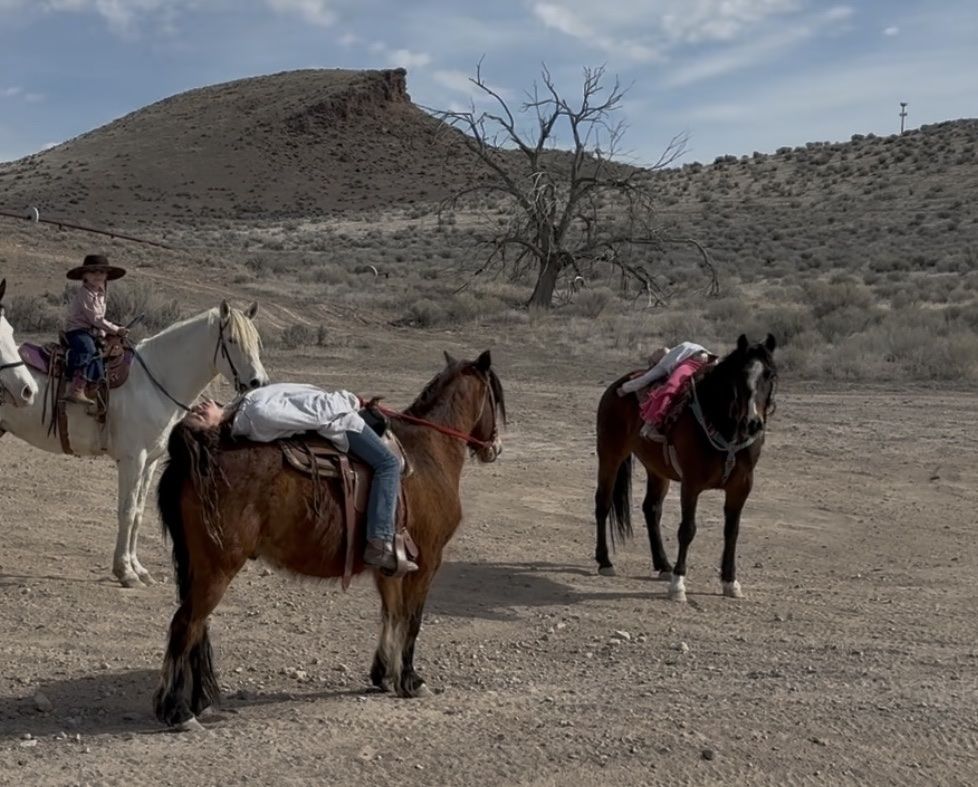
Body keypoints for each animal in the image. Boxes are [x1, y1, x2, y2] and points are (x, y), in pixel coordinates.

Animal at [0, 300, 268, 588]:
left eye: (257, 341)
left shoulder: (149, 462)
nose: (258, 382)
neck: (155, 381)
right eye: (232, 340)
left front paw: (139, 569)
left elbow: (138, 513)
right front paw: (125, 572)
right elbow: (127, 512)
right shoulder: (132, 459)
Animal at [152, 350, 505, 730]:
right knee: (185, 625)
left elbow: (391, 614)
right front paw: (411, 680)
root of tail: (197, 454)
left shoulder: (390, 566)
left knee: (196, 627)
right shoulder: (427, 562)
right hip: (217, 569)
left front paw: (384, 675)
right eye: (495, 397)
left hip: (199, 568)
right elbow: (412, 619)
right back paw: (179, 711)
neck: (427, 453)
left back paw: (198, 702)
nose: (495, 447)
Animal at [593, 334, 777, 602]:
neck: (725, 426)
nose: (753, 423)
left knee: (651, 509)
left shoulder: (741, 487)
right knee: (603, 504)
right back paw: (605, 561)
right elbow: (687, 530)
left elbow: (731, 532)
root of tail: (618, 385)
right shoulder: (692, 483)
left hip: (657, 470)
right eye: (740, 374)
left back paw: (662, 565)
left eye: (770, 375)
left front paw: (730, 582)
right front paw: (678, 584)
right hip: (610, 456)